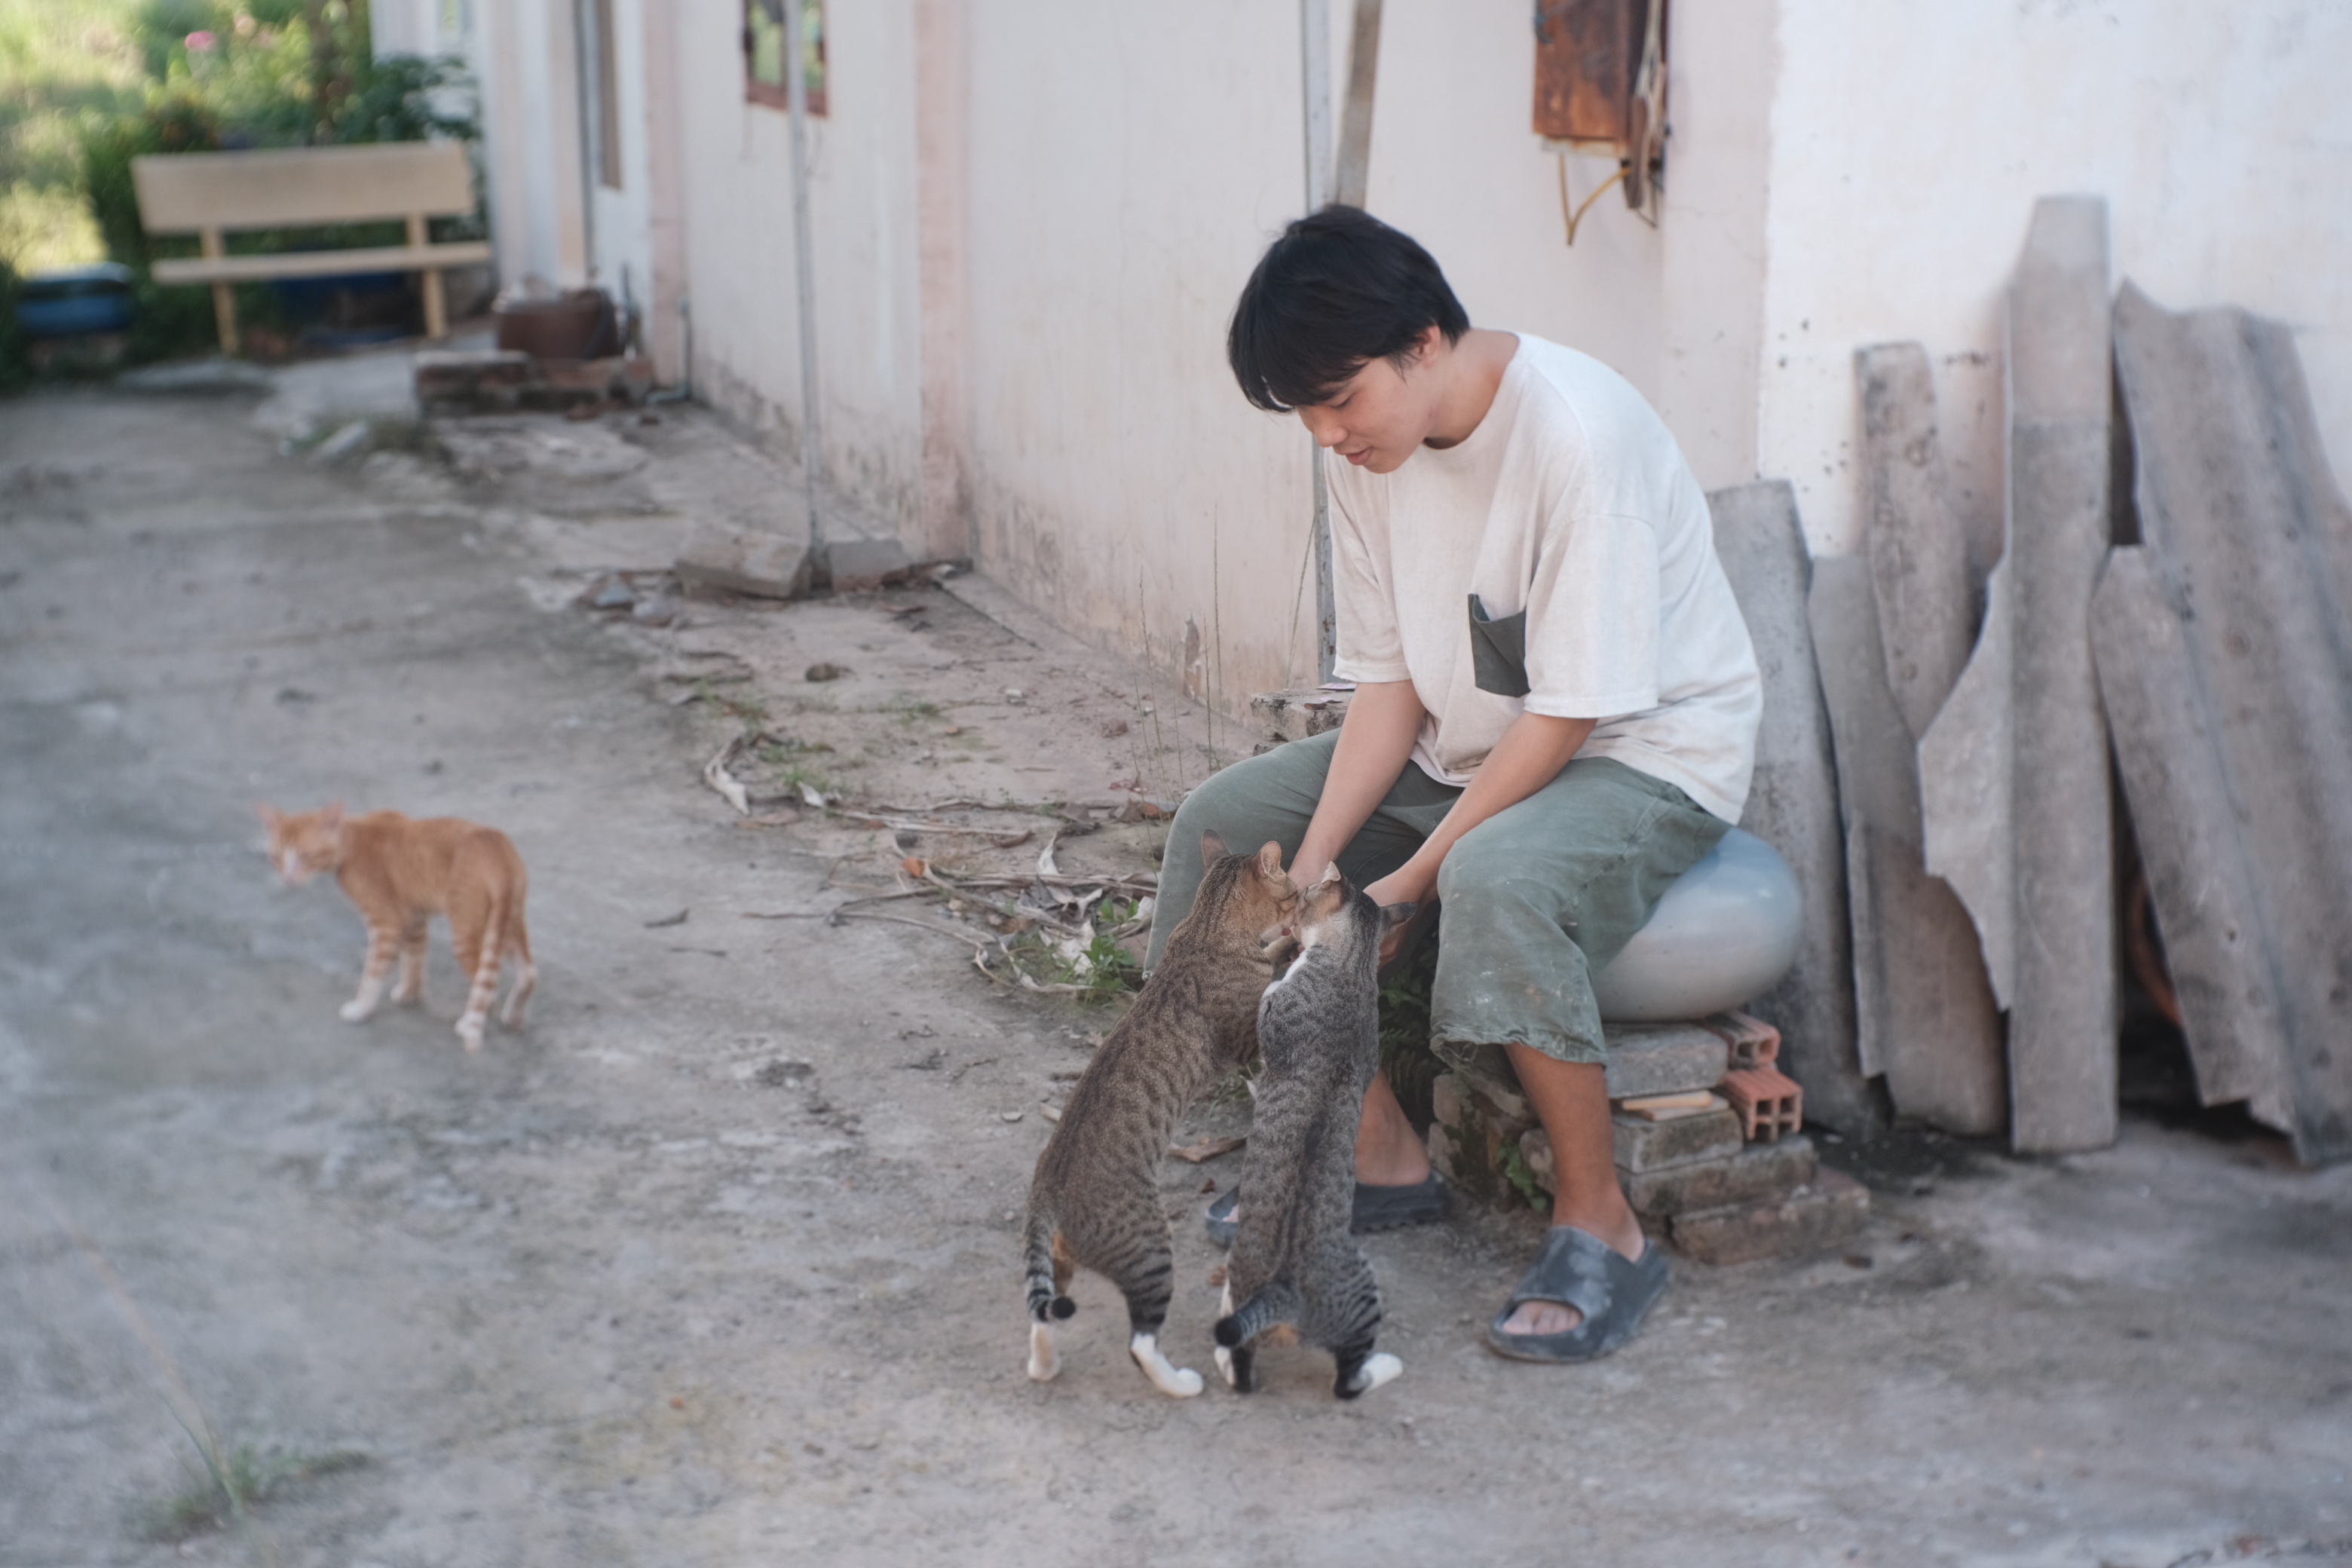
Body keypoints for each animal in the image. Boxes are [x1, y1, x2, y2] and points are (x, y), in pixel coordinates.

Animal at [257, 808, 538, 1053]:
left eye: (305, 856)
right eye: (276, 858)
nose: (288, 878)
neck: (353, 837)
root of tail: (495, 844)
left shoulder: (387, 922)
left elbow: (373, 973)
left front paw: (361, 1009)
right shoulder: (414, 916)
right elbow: (413, 957)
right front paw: (409, 994)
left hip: (467, 929)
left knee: (487, 987)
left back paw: (468, 1022)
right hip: (505, 921)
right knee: (527, 972)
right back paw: (514, 1018)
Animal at [1021, 831, 1298, 1401]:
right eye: (1294, 891)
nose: (1304, 897)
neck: (1207, 927)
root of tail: (1047, 1193)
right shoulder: (1246, 1040)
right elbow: (1270, 988)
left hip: (1060, 1263)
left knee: (1043, 1316)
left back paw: (1045, 1365)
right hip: (1148, 1248)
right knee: (1140, 1341)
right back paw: (1181, 1382)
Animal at [1223, 869, 1401, 1401]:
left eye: (1303, 898)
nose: (1299, 893)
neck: (1353, 969)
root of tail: (1284, 1291)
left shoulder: (1274, 1016)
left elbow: (1266, 1003)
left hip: (1359, 1298)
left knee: (1347, 1381)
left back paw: (1383, 1368)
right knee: (1244, 1363)